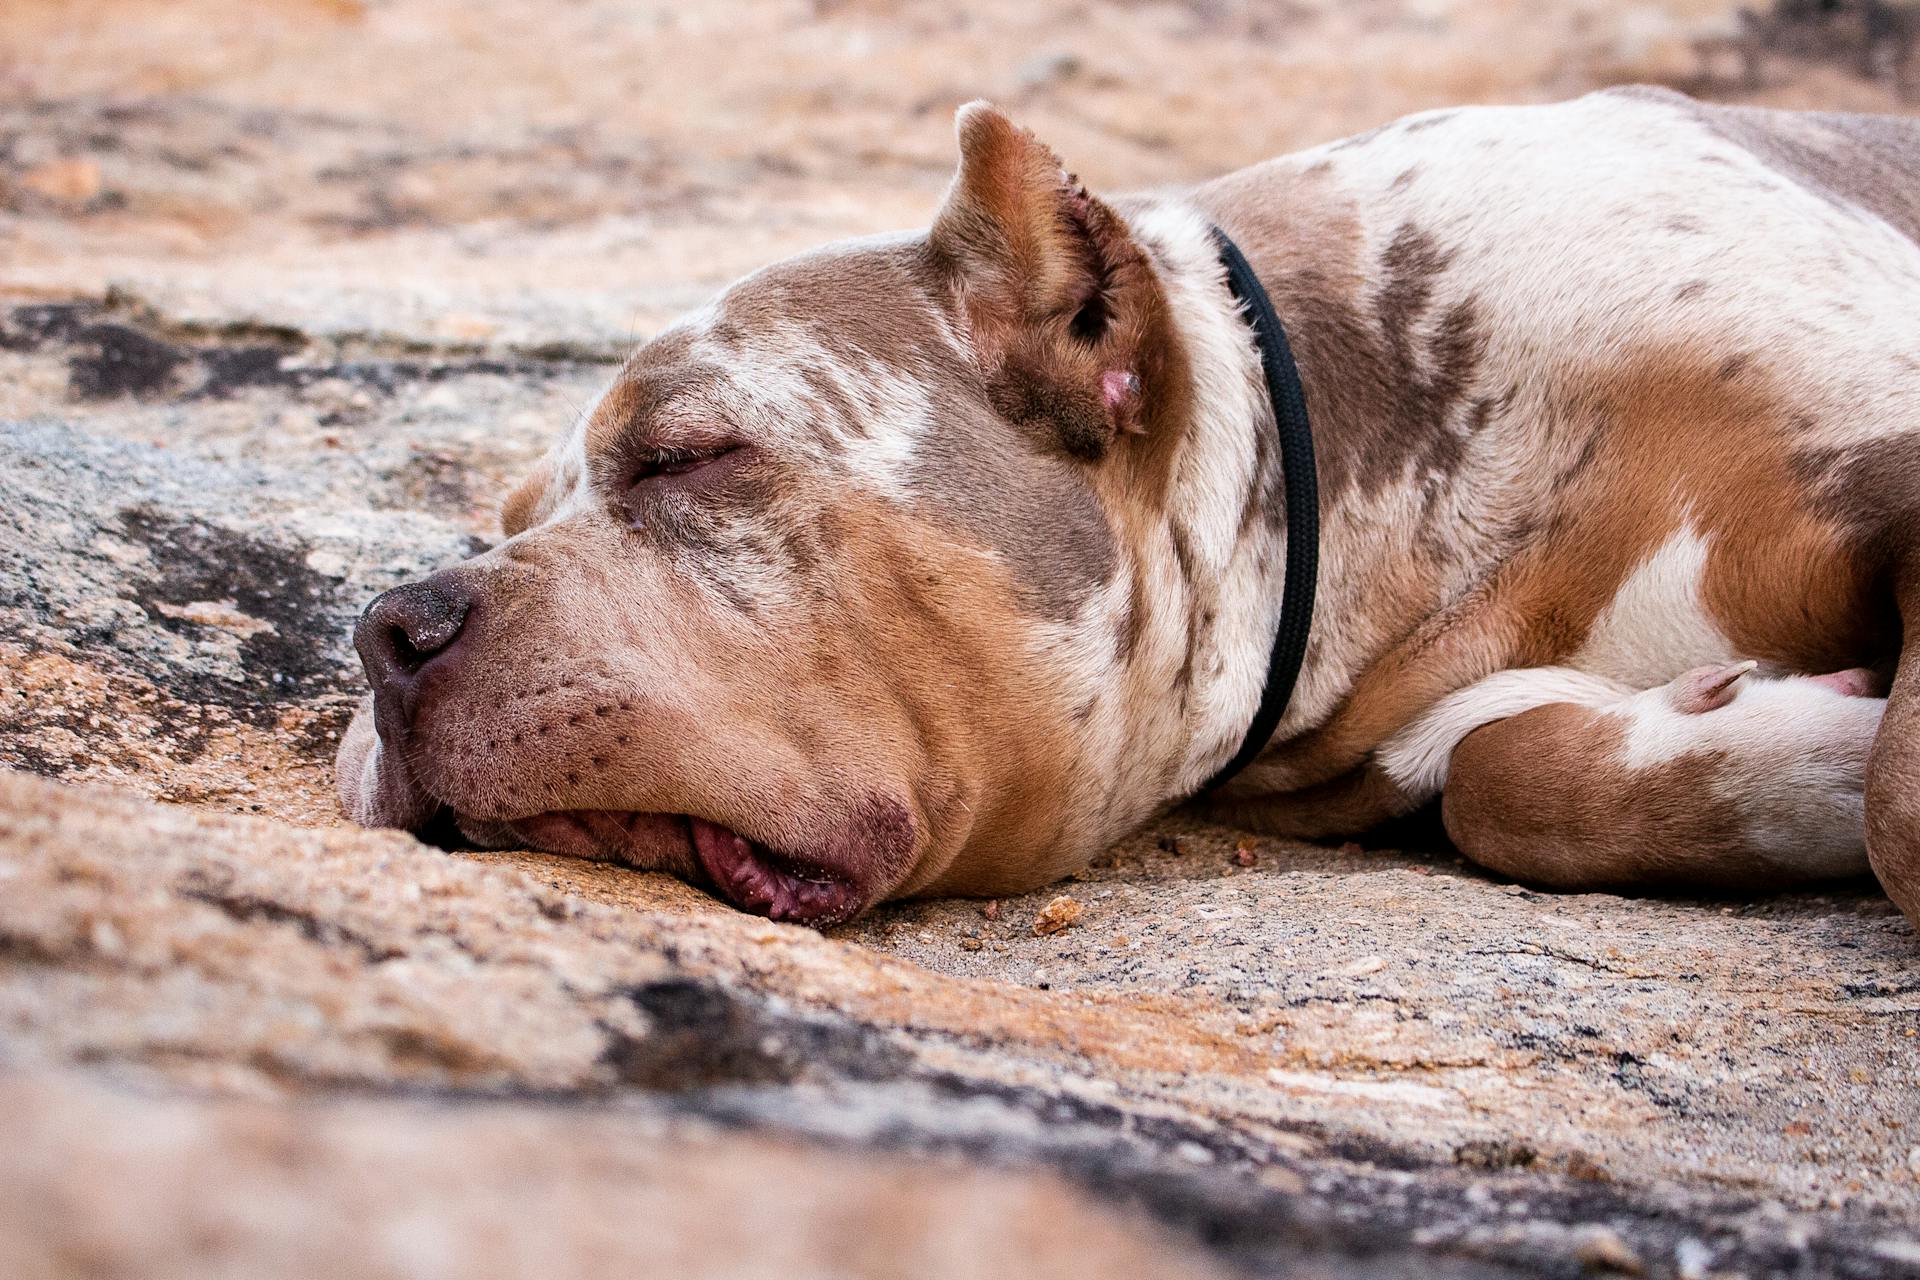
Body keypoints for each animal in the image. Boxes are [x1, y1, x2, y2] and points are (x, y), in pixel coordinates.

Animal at [337, 92, 1920, 932]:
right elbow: (1504, 771)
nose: (386, 629)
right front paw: (1787, 740)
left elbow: (1899, 801)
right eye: (508, 508)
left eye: (684, 455)